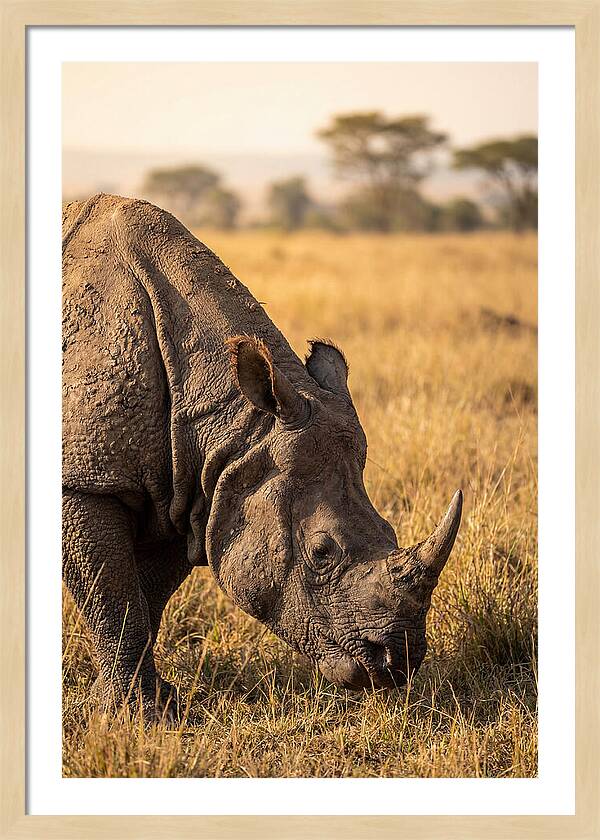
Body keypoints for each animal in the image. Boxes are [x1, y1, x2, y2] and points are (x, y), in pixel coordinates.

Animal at [62, 193, 462, 717]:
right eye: (321, 553)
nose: (397, 664)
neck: (235, 426)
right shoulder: (88, 480)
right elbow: (115, 602)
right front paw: (137, 716)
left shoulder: (189, 488)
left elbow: (144, 599)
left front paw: (150, 704)